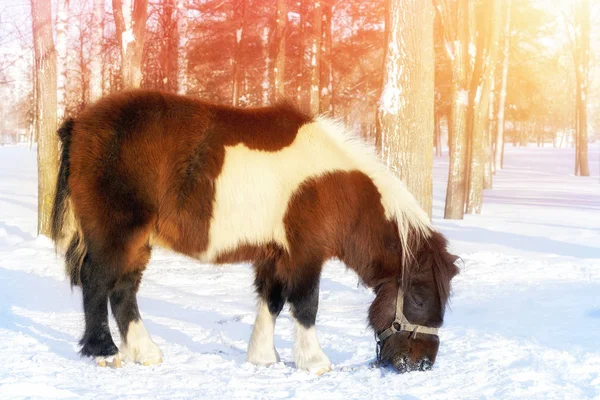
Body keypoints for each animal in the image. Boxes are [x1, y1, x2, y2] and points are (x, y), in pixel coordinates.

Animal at [51, 90, 458, 376]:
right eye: (419, 297)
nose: (422, 363)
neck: (334, 185)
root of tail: (80, 123)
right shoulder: (304, 254)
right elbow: (306, 305)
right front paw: (315, 362)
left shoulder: (274, 254)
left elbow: (271, 302)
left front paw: (263, 357)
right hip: (116, 232)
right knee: (97, 280)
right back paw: (104, 352)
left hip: (139, 241)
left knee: (123, 289)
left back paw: (145, 352)